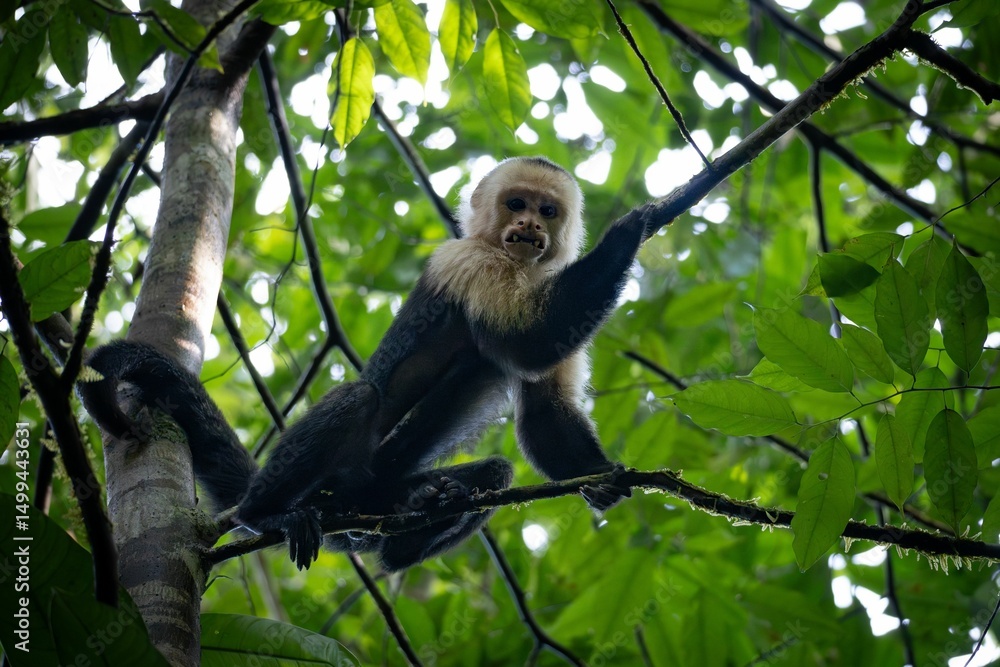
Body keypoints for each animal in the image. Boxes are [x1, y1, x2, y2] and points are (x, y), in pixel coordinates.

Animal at [79, 156, 653, 571]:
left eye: (547, 211)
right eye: (516, 203)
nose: (529, 225)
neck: (513, 262)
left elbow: (544, 409)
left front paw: (599, 476)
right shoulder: (467, 259)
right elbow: (530, 341)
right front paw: (627, 234)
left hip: (377, 488)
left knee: (493, 472)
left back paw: (418, 516)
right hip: (337, 481)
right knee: (359, 398)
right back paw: (269, 513)